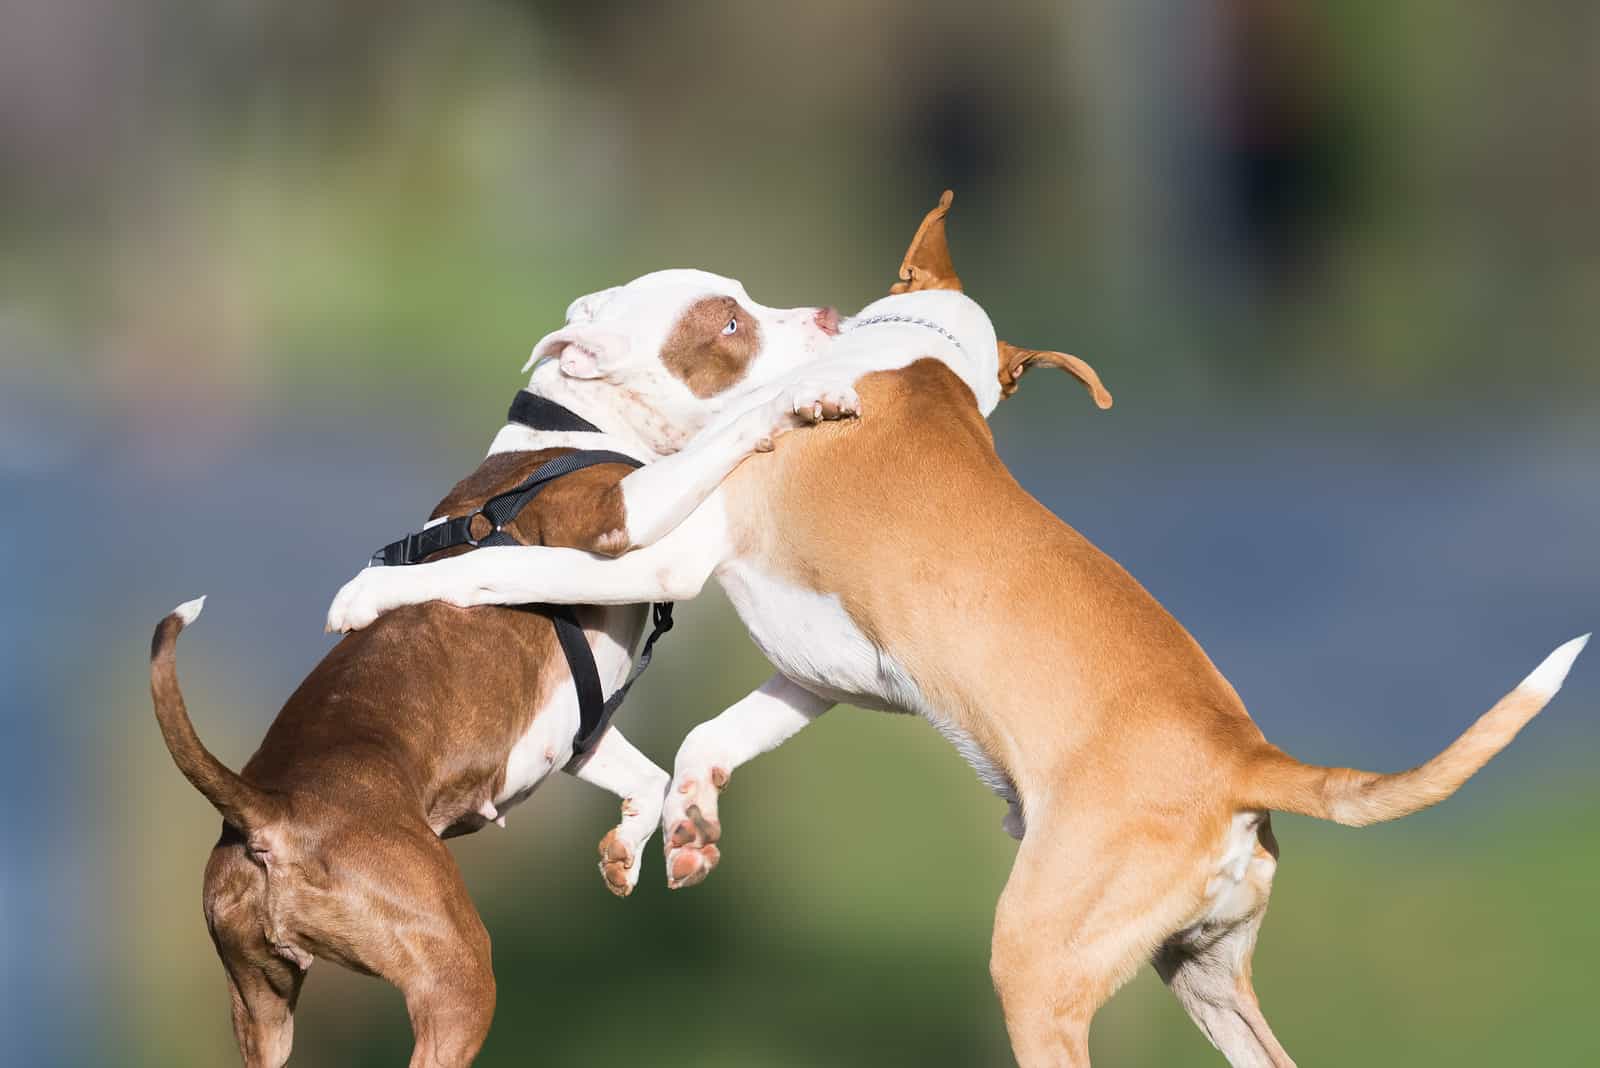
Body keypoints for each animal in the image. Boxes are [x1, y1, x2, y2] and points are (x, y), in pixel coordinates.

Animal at [150, 271, 857, 1068]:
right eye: (731, 323)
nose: (829, 317)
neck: (577, 429)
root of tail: (268, 808)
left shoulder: (572, 732)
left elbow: (646, 775)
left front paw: (625, 851)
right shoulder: (618, 513)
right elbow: (716, 441)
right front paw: (797, 400)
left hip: (261, 1005)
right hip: (453, 971)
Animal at [324, 195, 1587, 1061]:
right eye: (727, 316)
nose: (820, 314)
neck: (913, 355)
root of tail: (1246, 758)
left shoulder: (666, 548)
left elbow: (507, 566)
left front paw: (374, 593)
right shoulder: (820, 670)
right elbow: (710, 741)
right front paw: (683, 832)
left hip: (1037, 964)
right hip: (1204, 976)